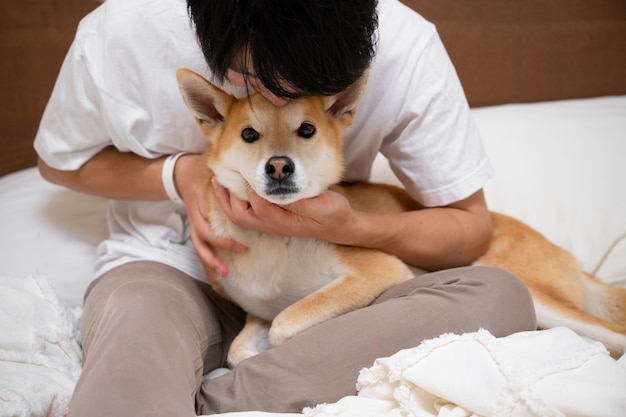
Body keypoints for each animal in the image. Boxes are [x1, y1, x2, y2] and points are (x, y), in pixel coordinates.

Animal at [176, 67, 624, 364]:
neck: (274, 240)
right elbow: (238, 352)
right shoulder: (256, 313)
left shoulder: (378, 270)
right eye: (249, 134)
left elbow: (286, 323)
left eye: (306, 130)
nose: (279, 166)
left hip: (525, 285)